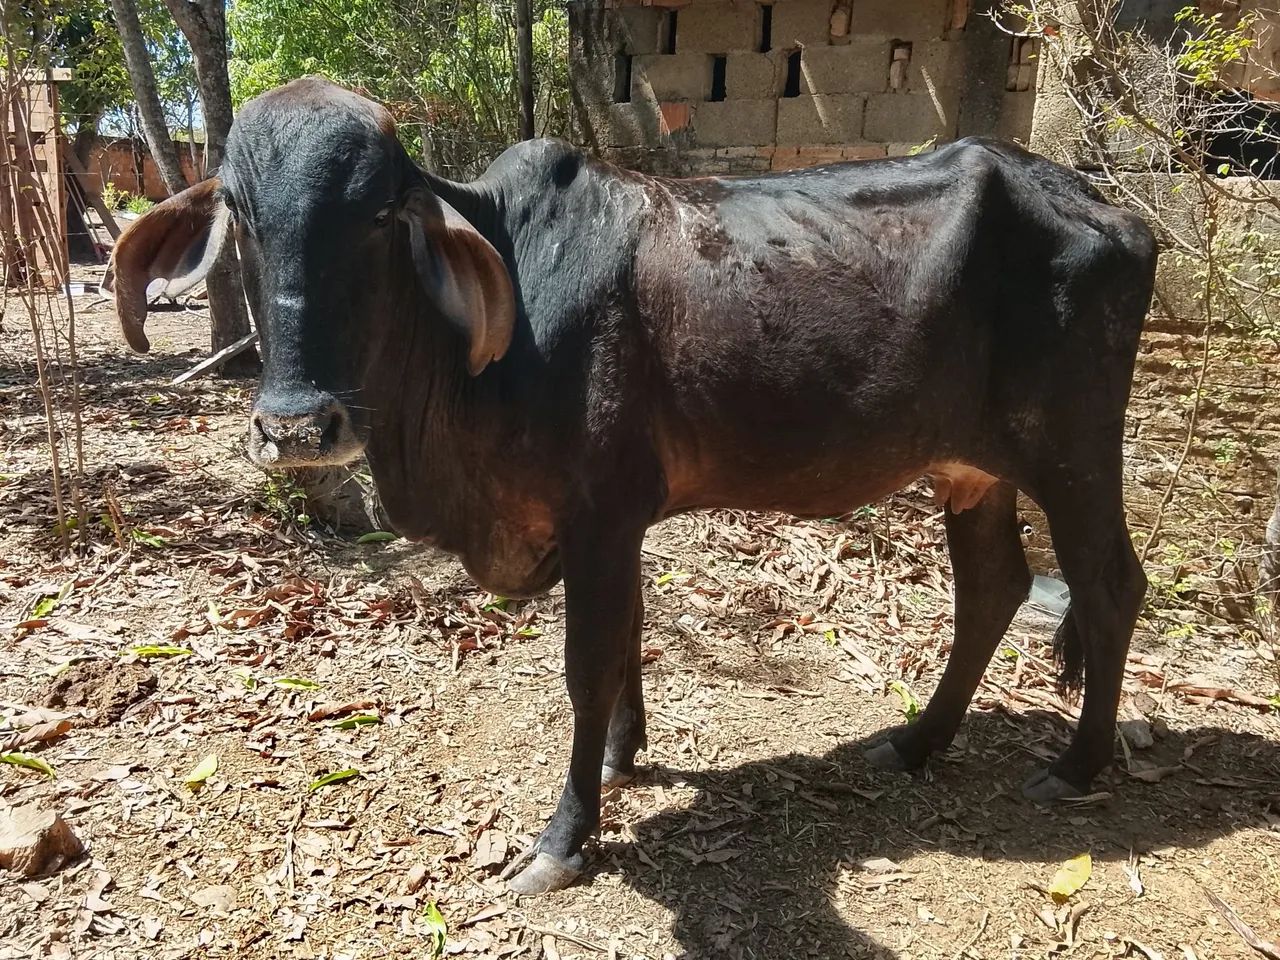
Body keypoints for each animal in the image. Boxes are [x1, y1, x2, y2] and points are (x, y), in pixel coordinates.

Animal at [109, 77, 1157, 895]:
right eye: (242, 213)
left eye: (377, 215)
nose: (296, 427)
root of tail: (1111, 209)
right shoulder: (614, 526)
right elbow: (629, 644)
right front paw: (623, 756)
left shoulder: (601, 519)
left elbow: (589, 664)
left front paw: (564, 837)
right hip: (973, 469)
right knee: (993, 588)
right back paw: (915, 743)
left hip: (1073, 453)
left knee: (1109, 586)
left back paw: (1076, 764)